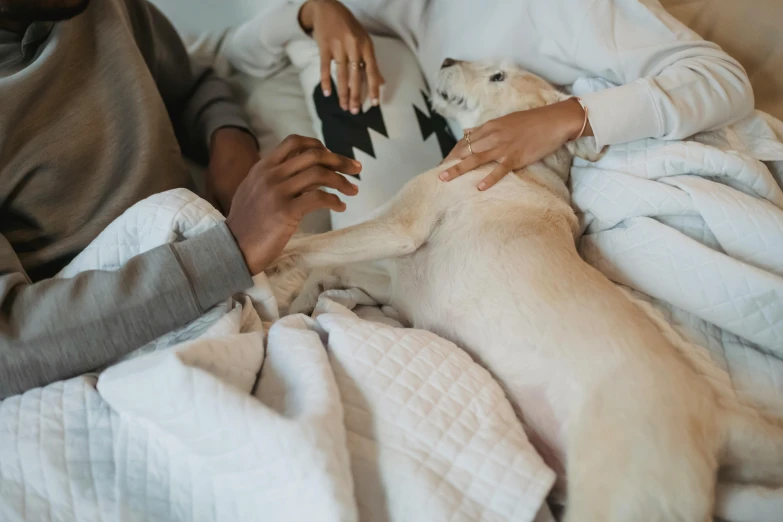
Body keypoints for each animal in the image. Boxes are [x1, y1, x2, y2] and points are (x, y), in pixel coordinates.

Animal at [272, 60, 783, 516]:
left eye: (499, 74)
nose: (447, 59)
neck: (525, 167)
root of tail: (718, 418)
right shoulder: (396, 280)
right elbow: (325, 270)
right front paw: (292, 300)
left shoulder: (399, 228)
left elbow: (310, 244)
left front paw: (270, 262)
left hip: (618, 493)